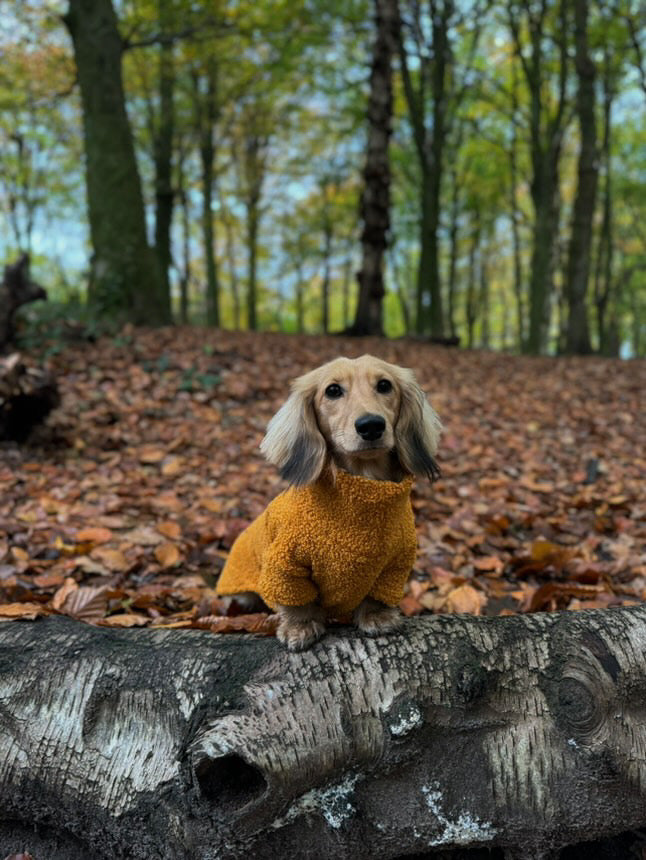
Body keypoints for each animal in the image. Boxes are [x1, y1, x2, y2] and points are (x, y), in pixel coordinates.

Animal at [215, 352, 442, 648]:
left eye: (384, 385)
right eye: (333, 390)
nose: (371, 425)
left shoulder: (395, 565)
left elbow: (377, 595)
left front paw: (377, 617)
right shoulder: (285, 566)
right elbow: (297, 602)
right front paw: (300, 627)